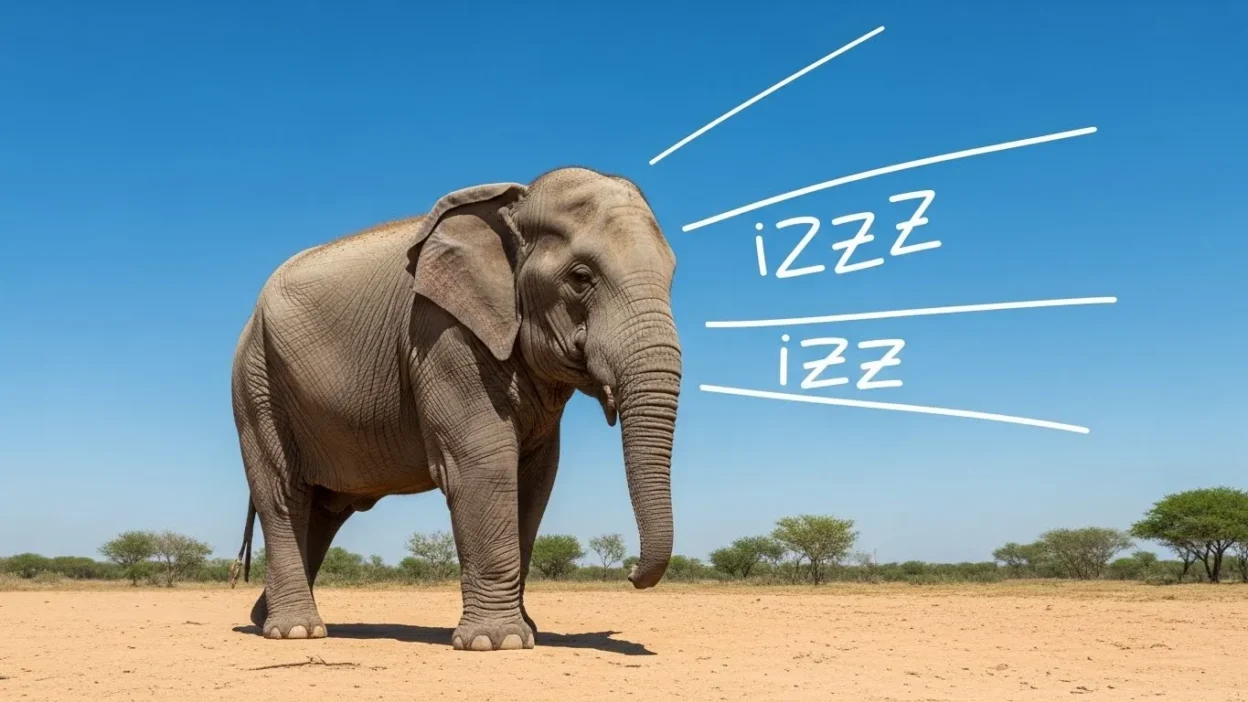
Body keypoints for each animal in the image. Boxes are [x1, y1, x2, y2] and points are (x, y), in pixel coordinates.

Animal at [227, 166, 681, 651]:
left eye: (672, 276)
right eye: (581, 277)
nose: (628, 572)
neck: (515, 204)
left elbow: (535, 480)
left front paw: (527, 632)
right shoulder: (441, 333)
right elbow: (485, 462)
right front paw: (499, 642)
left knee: (325, 511)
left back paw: (265, 619)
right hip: (256, 382)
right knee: (283, 494)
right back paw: (296, 631)